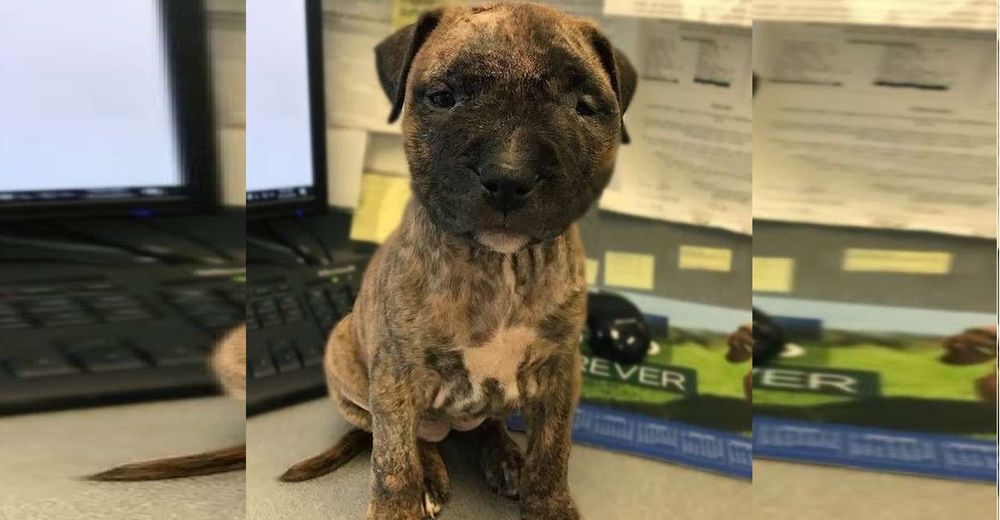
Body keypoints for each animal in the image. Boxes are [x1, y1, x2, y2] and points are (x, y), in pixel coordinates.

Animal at [282, 3, 636, 516]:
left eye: (584, 107)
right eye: (443, 97)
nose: (509, 176)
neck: (500, 265)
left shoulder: (558, 374)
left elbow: (551, 453)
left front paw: (548, 503)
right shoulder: (395, 377)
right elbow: (393, 463)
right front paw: (398, 505)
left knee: (488, 423)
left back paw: (504, 455)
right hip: (347, 361)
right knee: (414, 440)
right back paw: (431, 475)